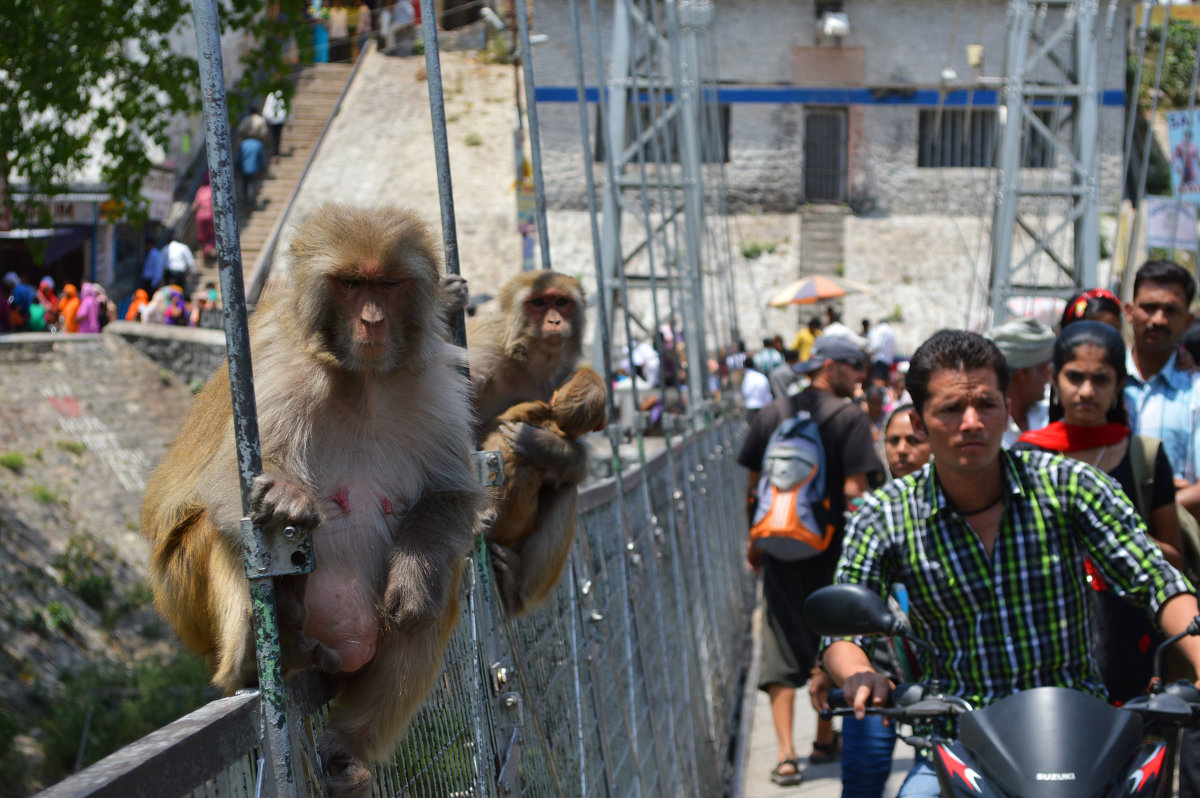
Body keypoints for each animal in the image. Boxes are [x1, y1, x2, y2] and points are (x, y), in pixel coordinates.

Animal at [137, 202, 482, 792]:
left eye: (387, 285)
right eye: (351, 284)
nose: (372, 320)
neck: (364, 381)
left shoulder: (439, 390)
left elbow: (453, 494)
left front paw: (414, 576)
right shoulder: (277, 374)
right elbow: (225, 483)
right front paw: (281, 497)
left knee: (438, 590)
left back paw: (348, 746)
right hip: (187, 605)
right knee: (228, 532)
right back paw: (258, 652)